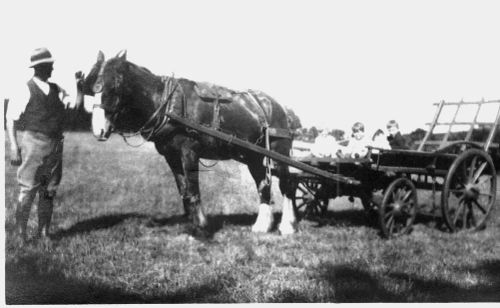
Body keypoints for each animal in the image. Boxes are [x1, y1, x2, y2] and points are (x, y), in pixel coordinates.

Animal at [80, 51, 302, 237]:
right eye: (92, 88)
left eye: (115, 86)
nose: (98, 130)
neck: (167, 103)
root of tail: (280, 107)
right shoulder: (171, 156)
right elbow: (184, 190)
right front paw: (192, 224)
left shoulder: (189, 152)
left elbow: (194, 190)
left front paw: (201, 228)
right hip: (253, 156)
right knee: (263, 185)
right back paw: (262, 226)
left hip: (279, 152)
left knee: (287, 184)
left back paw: (287, 226)